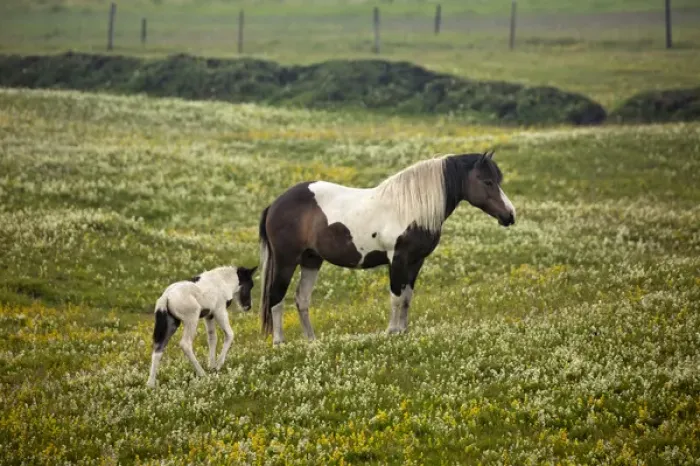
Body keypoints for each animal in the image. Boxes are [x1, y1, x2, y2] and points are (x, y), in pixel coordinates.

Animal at [257, 150, 515, 346]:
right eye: (487, 181)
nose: (510, 216)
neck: (410, 208)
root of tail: (275, 204)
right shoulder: (397, 259)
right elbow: (396, 296)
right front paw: (392, 331)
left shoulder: (415, 261)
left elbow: (407, 298)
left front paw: (403, 331)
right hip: (286, 260)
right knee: (276, 297)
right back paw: (279, 342)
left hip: (311, 260)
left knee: (302, 299)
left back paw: (311, 341)